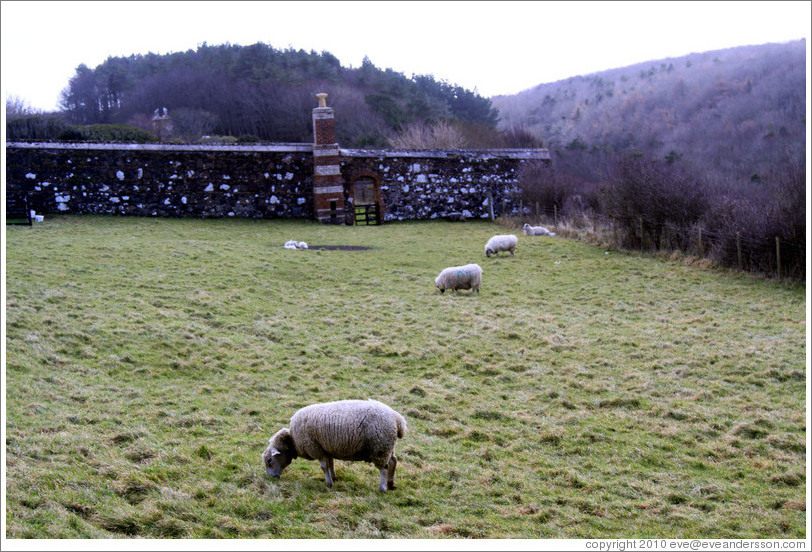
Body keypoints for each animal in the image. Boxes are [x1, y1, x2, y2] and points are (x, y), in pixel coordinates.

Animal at [264, 402, 406, 492]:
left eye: (270, 461)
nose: (271, 478)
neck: (292, 440)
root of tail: (398, 419)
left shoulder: (316, 448)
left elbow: (323, 467)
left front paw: (328, 483)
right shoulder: (326, 449)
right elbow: (330, 464)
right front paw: (333, 477)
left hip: (380, 447)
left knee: (383, 468)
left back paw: (383, 488)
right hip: (388, 446)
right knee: (393, 461)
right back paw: (391, 484)